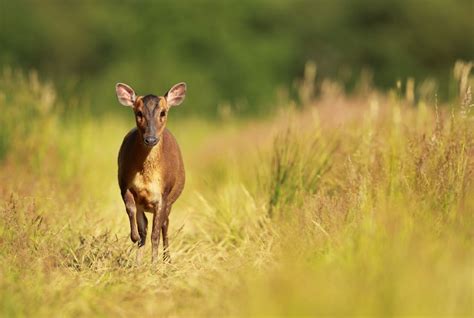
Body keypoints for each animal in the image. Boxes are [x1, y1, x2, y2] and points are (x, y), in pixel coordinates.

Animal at [115, 82, 186, 264]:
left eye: (163, 112)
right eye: (138, 113)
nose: (151, 139)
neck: (146, 175)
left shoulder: (163, 195)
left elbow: (156, 234)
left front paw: (154, 265)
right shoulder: (124, 184)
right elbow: (133, 214)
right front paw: (134, 237)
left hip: (170, 201)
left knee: (164, 226)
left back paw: (167, 259)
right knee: (146, 227)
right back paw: (139, 261)